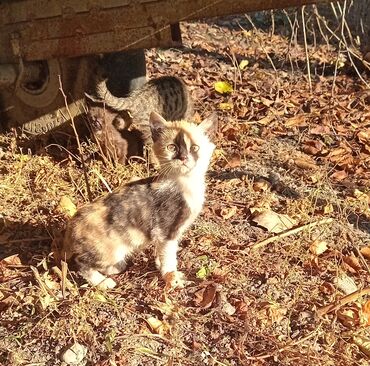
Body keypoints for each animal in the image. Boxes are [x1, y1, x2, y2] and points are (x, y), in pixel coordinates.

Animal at [60, 111, 217, 288]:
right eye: (172, 147)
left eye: (195, 147)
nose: (183, 157)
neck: (187, 182)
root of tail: (71, 226)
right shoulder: (166, 230)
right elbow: (169, 255)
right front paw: (172, 277)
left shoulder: (163, 235)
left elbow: (162, 251)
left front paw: (160, 265)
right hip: (109, 250)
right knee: (80, 263)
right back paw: (103, 282)